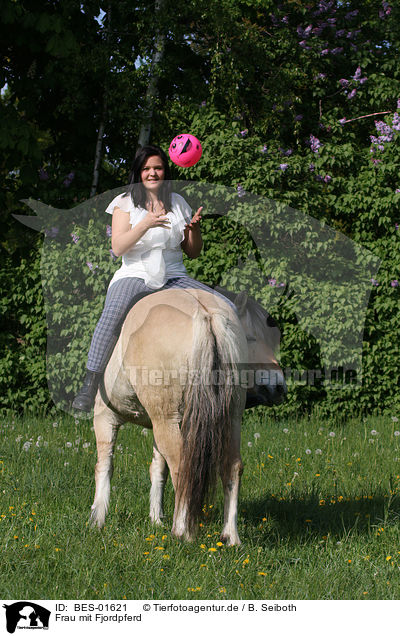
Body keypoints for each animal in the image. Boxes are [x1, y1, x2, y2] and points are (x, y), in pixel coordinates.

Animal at [89, 286, 286, 544]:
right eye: (251, 338)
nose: (280, 386)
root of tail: (206, 315)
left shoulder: (106, 418)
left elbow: (105, 466)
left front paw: (97, 519)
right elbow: (157, 469)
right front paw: (156, 519)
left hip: (166, 422)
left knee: (182, 469)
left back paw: (182, 531)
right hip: (229, 420)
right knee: (232, 467)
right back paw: (231, 535)